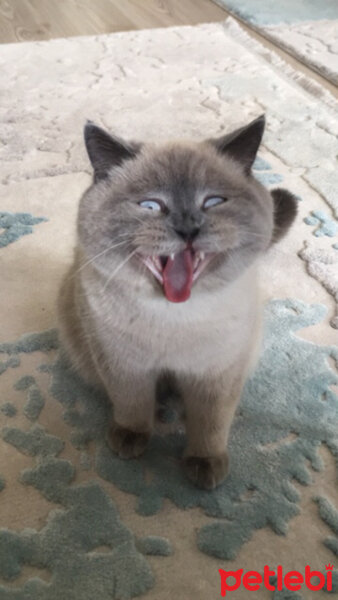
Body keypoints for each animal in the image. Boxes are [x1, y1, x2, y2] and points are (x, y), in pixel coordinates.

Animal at [58, 115, 296, 490]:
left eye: (212, 202)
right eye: (151, 206)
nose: (188, 229)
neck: (175, 318)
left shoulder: (217, 375)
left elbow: (210, 423)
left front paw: (205, 465)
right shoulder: (124, 365)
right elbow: (131, 404)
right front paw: (131, 439)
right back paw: (159, 411)